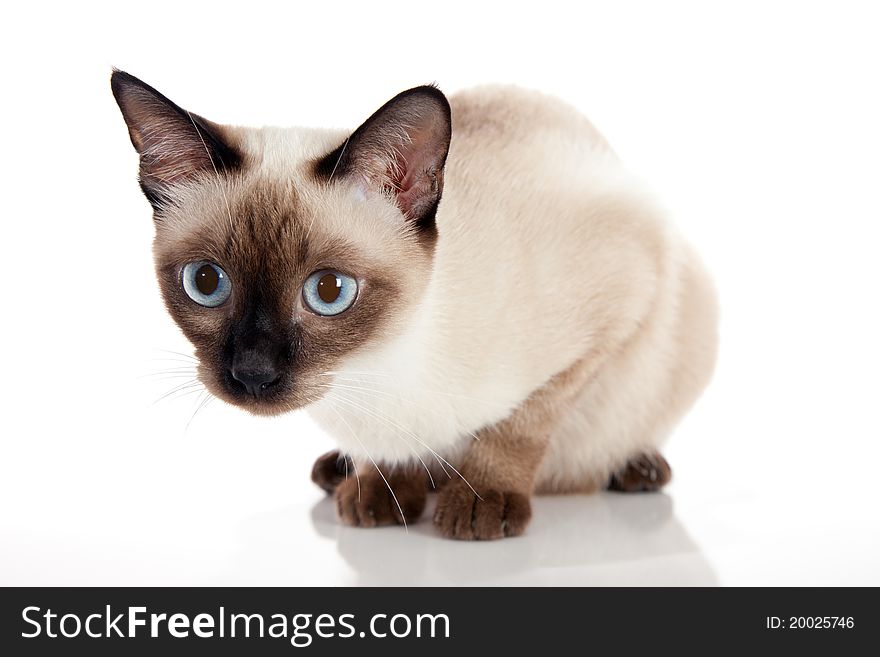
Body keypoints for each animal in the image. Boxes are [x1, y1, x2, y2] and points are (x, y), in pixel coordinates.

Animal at [111, 70, 716, 540]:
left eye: (328, 292)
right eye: (206, 282)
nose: (252, 373)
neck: (369, 373)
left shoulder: (617, 304)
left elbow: (520, 426)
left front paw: (479, 502)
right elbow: (386, 458)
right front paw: (379, 489)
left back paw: (636, 469)